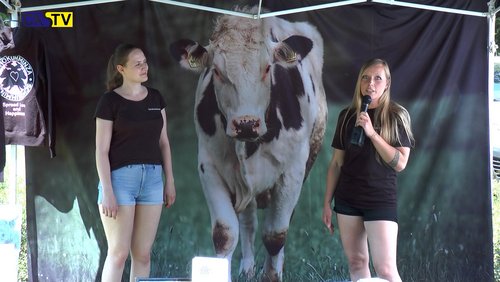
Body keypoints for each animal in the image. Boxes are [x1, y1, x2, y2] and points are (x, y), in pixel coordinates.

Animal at [171, 7, 328, 282]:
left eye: (267, 68)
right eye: (217, 71)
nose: (246, 124)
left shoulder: (293, 171)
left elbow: (275, 234)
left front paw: (272, 275)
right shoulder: (209, 167)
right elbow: (225, 233)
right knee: (248, 221)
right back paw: (247, 268)